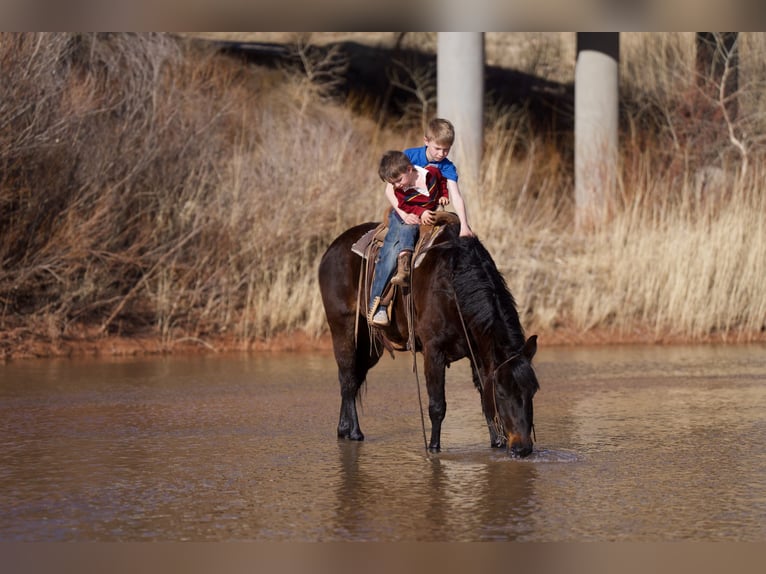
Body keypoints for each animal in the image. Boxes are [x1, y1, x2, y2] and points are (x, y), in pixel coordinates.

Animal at [318, 219, 540, 460]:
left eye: (533, 391)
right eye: (501, 392)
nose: (522, 448)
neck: (453, 286)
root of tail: (331, 249)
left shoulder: (478, 353)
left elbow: (483, 394)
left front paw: (497, 442)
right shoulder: (434, 351)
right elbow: (437, 405)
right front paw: (433, 448)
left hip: (370, 347)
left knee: (353, 378)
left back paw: (344, 429)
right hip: (343, 329)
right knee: (348, 379)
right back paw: (355, 433)